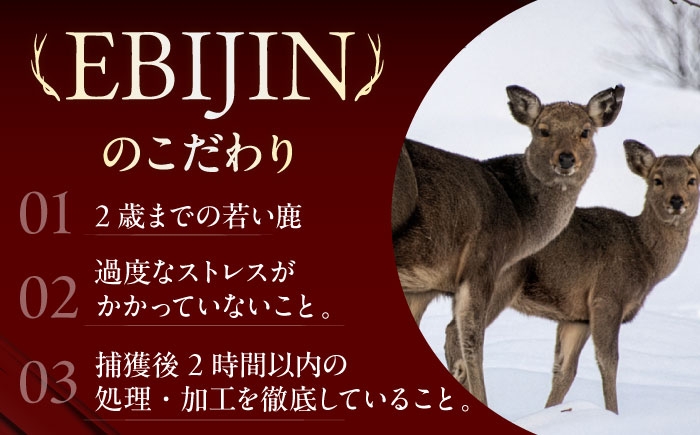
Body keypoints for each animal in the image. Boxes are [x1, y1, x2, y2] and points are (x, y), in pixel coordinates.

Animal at [392, 84, 625, 406]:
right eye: (543, 130)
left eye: (585, 131)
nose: (566, 158)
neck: (519, 219)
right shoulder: (481, 263)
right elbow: (471, 341)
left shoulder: (424, 287)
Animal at [445, 140, 700, 413]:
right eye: (657, 180)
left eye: (692, 180)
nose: (676, 201)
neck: (645, 256)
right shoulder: (607, 297)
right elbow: (609, 362)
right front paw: (613, 414)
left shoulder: (577, 317)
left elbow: (564, 371)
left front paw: (552, 413)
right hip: (499, 282)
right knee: (456, 333)